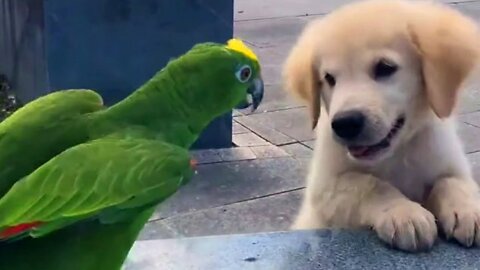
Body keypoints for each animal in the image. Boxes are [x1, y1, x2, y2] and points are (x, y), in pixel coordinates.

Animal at [284, 0, 480, 252]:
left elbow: (453, 182)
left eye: (385, 68)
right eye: (329, 78)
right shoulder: (324, 188)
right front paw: (405, 214)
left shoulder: (450, 163)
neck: (396, 154)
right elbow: (369, 184)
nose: (345, 124)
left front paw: (468, 209)